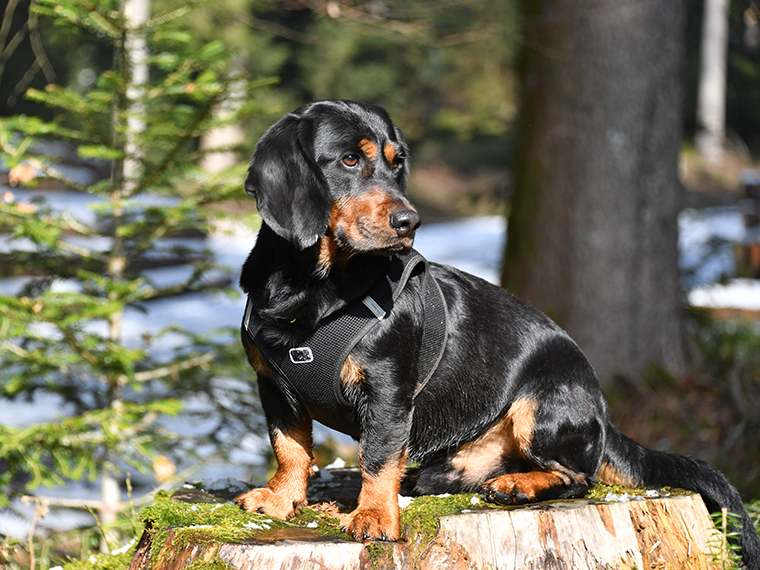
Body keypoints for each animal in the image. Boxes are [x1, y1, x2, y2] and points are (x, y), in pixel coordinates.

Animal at [235, 98, 756, 564]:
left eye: (396, 162)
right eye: (349, 159)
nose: (410, 222)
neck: (315, 290)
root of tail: (604, 421)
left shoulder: (387, 391)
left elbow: (377, 457)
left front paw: (375, 517)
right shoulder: (273, 386)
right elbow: (290, 448)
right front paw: (280, 499)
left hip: (542, 407)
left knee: (578, 477)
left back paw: (516, 485)